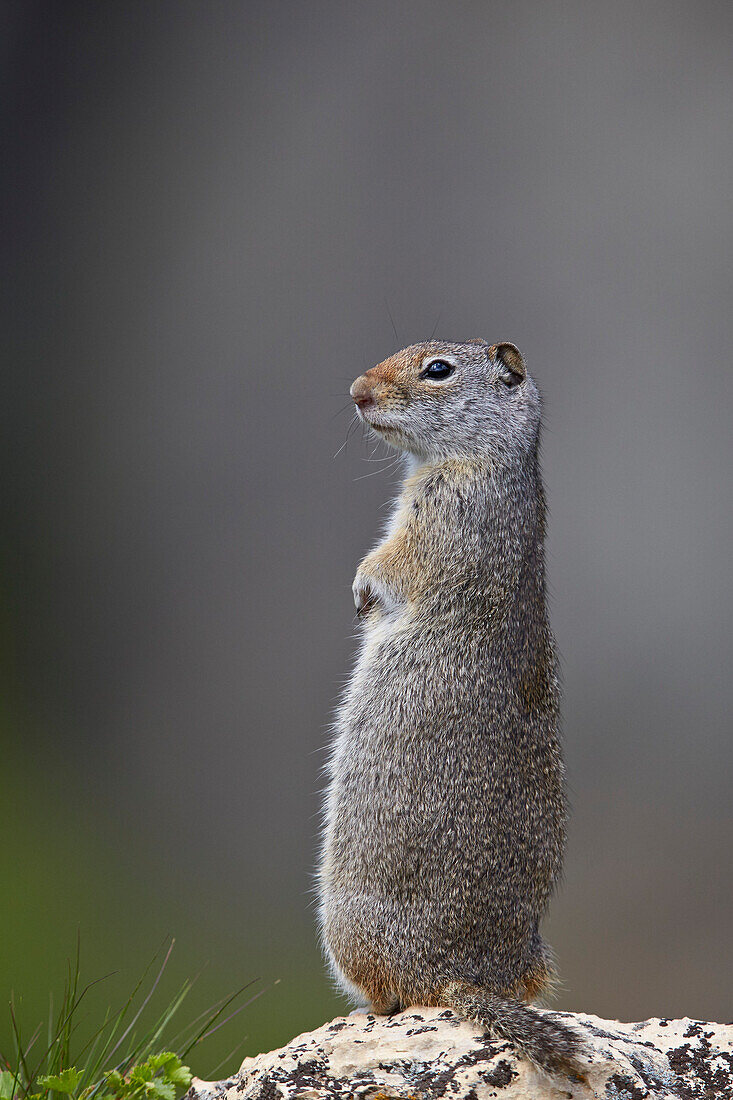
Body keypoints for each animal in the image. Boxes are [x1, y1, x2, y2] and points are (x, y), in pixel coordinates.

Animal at [316, 338, 585, 1078]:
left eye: (437, 369)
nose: (356, 391)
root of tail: (460, 977)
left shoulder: (441, 509)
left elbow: (394, 561)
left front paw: (360, 589)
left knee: (393, 996)